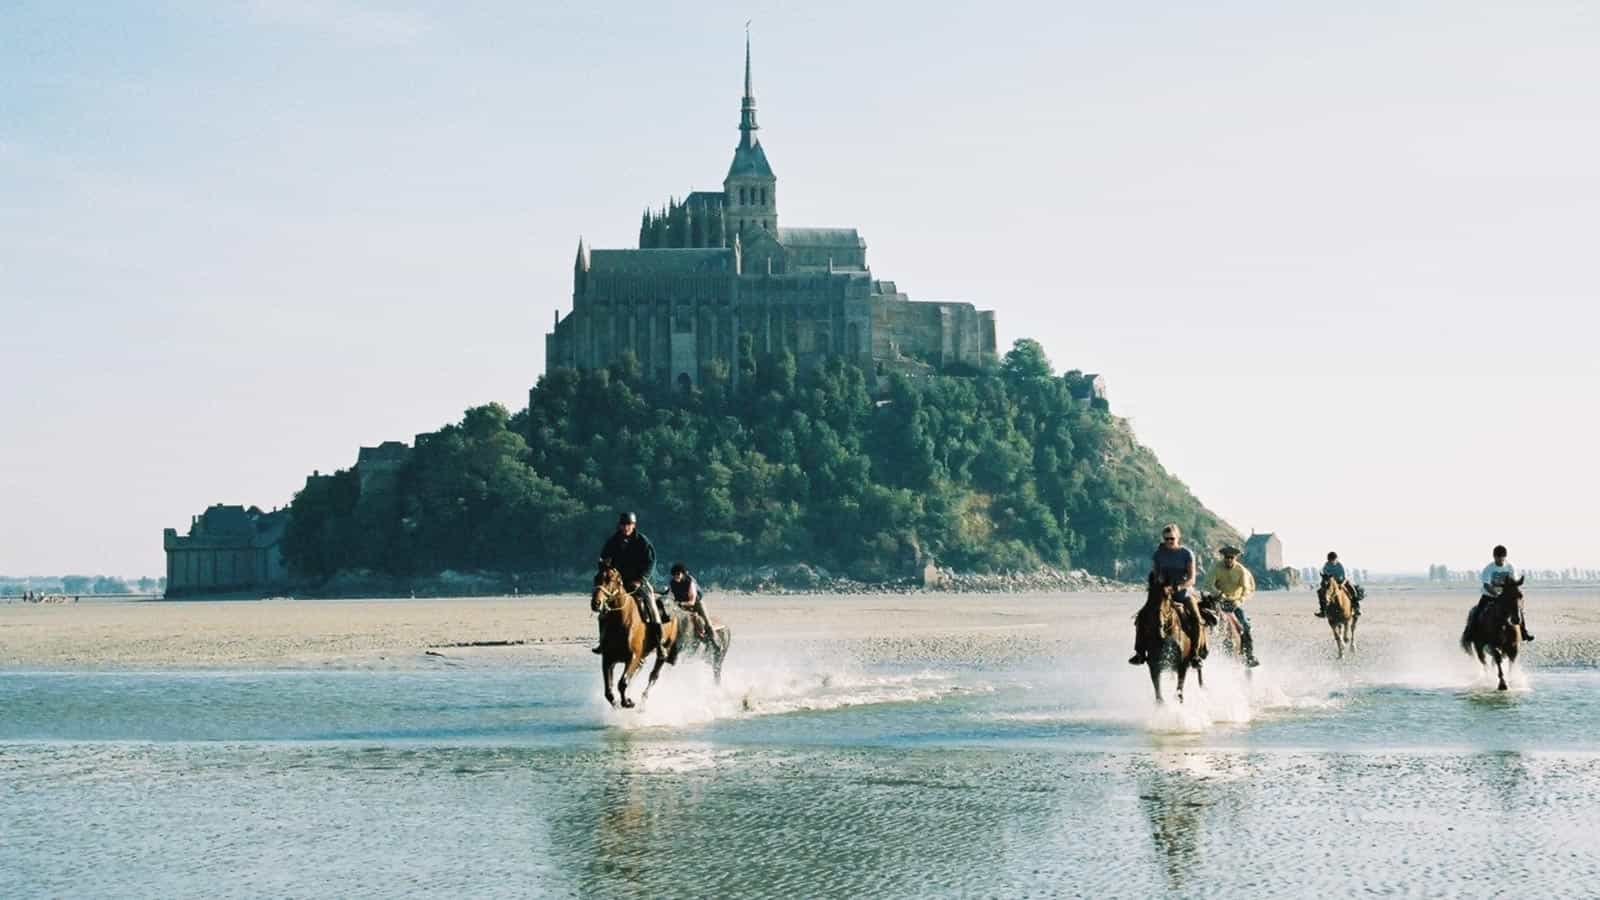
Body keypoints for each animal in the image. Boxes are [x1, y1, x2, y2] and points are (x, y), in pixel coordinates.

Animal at [1139, 573, 1203, 701]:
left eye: (1167, 596)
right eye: (1150, 594)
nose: (1158, 623)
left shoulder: (1182, 666)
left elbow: (1179, 694)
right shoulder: (1154, 667)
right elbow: (1159, 697)